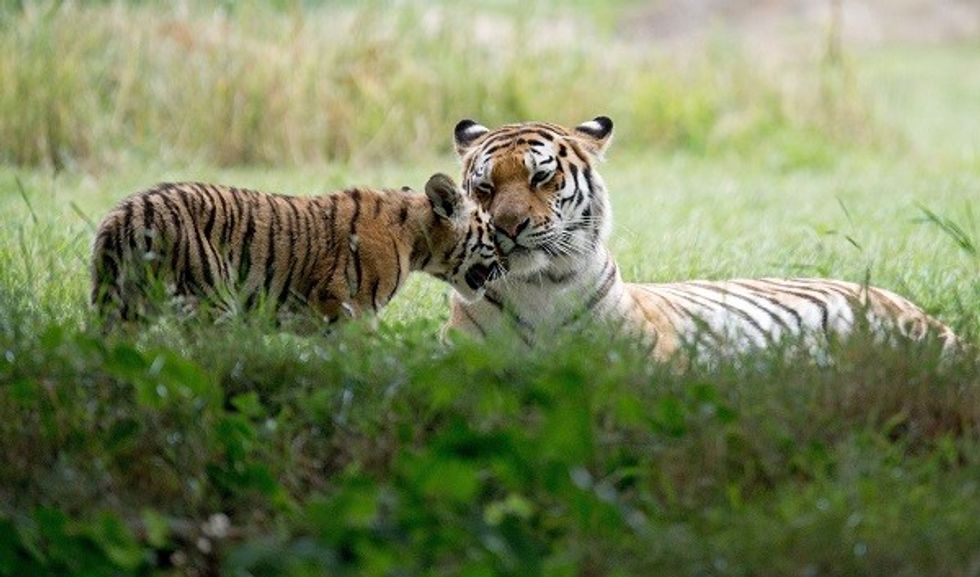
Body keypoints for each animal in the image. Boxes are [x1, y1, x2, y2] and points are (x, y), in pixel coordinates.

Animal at [91, 173, 503, 325]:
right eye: (494, 233)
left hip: (121, 308)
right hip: (210, 301)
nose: (507, 263)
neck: (418, 241)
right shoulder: (348, 309)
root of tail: (127, 213)